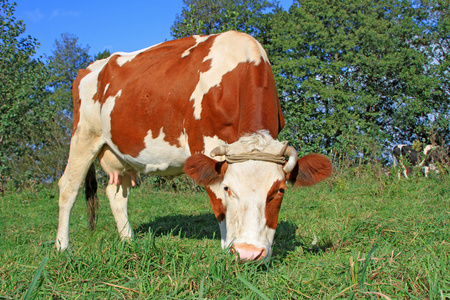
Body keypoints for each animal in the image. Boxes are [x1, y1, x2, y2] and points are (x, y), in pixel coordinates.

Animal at [55, 31, 330, 260]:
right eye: (229, 188)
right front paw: (228, 249)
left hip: (120, 153)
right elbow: (219, 203)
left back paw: (128, 241)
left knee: (116, 193)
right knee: (68, 187)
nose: (249, 252)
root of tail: (90, 67)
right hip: (83, 136)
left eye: (280, 190)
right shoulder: (205, 148)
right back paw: (62, 246)